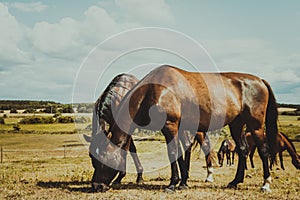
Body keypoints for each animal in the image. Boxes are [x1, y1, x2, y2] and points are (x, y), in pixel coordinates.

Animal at [89, 65, 278, 192]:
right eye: (92, 158)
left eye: (103, 156)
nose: (96, 186)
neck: (153, 90)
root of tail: (260, 81)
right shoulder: (178, 128)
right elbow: (180, 153)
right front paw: (183, 182)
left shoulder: (170, 126)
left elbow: (173, 152)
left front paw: (173, 183)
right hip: (236, 124)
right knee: (243, 149)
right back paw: (235, 181)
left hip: (256, 125)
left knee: (263, 150)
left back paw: (266, 184)